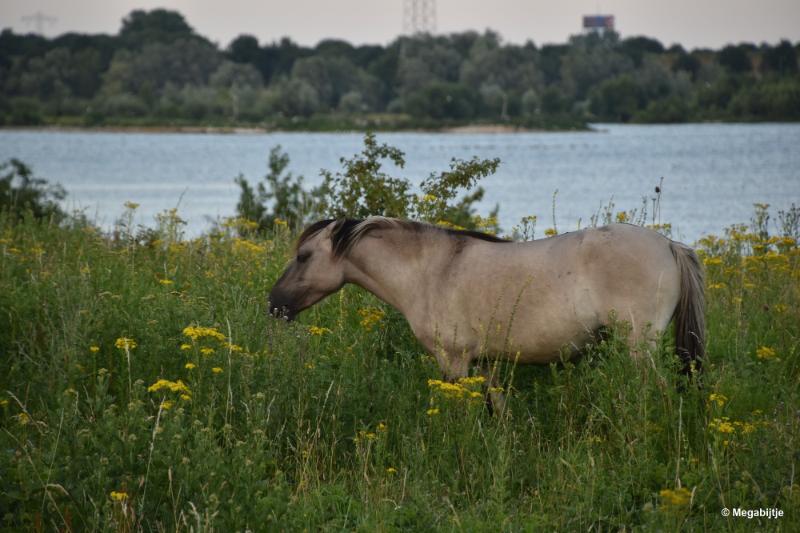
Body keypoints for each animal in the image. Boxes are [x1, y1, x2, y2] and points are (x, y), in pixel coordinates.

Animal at [270, 216, 708, 412]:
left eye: (303, 256)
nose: (274, 303)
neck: (431, 271)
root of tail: (670, 245)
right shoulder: (485, 363)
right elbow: (499, 411)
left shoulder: (454, 361)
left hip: (639, 346)